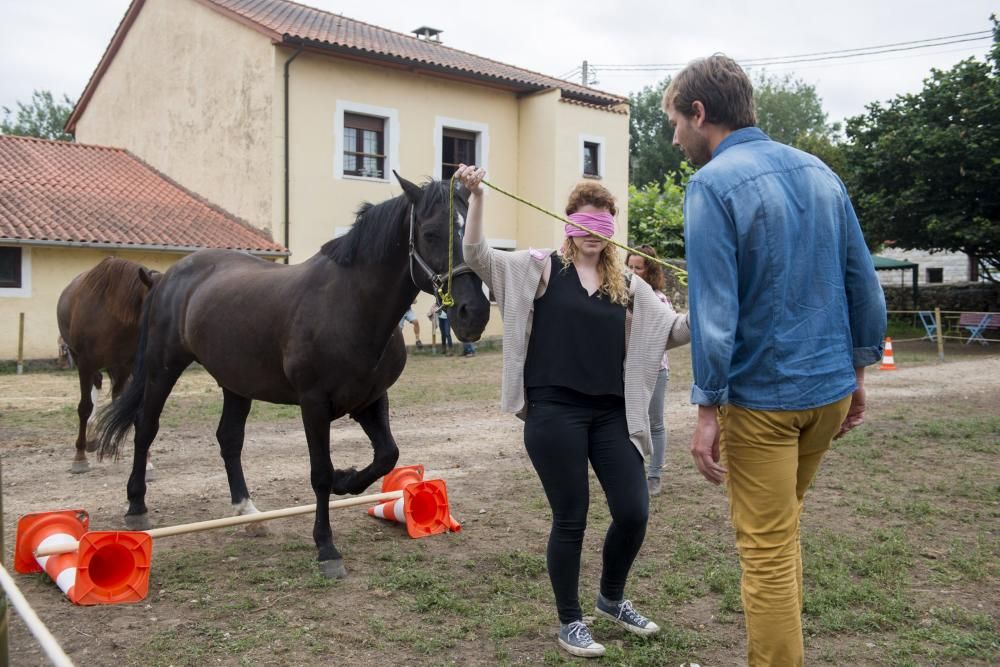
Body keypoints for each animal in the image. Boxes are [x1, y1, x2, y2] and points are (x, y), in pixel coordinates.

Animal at [57, 258, 160, 474]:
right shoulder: (85, 363)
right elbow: (85, 407)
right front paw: (79, 457)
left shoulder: (129, 365)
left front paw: (146, 460)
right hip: (85, 360)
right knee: (97, 384)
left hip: (118, 368)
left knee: (115, 395)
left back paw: (111, 443)